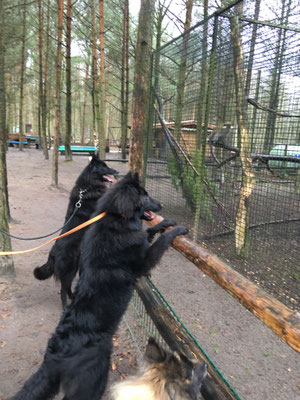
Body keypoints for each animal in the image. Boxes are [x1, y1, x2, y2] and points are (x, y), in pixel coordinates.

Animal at [12, 172, 189, 400]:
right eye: (145, 196)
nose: (161, 205)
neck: (116, 220)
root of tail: (53, 357)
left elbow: (150, 230)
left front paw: (166, 222)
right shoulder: (144, 260)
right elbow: (163, 240)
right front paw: (178, 229)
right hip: (95, 378)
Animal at [33, 155, 117, 308]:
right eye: (104, 167)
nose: (116, 171)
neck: (86, 187)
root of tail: (52, 254)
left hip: (74, 268)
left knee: (66, 287)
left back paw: (72, 298)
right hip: (69, 269)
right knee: (63, 289)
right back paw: (65, 306)